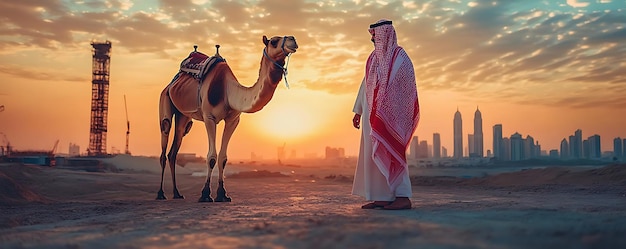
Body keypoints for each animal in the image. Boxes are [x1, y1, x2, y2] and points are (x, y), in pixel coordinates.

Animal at [156, 35, 298, 202]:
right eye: (274, 41)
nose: (293, 39)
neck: (227, 91)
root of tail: (172, 83)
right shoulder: (209, 117)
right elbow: (211, 156)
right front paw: (205, 194)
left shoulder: (233, 120)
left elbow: (223, 158)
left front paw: (222, 194)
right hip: (164, 98)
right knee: (164, 135)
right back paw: (160, 194)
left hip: (183, 116)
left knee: (174, 148)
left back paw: (177, 193)